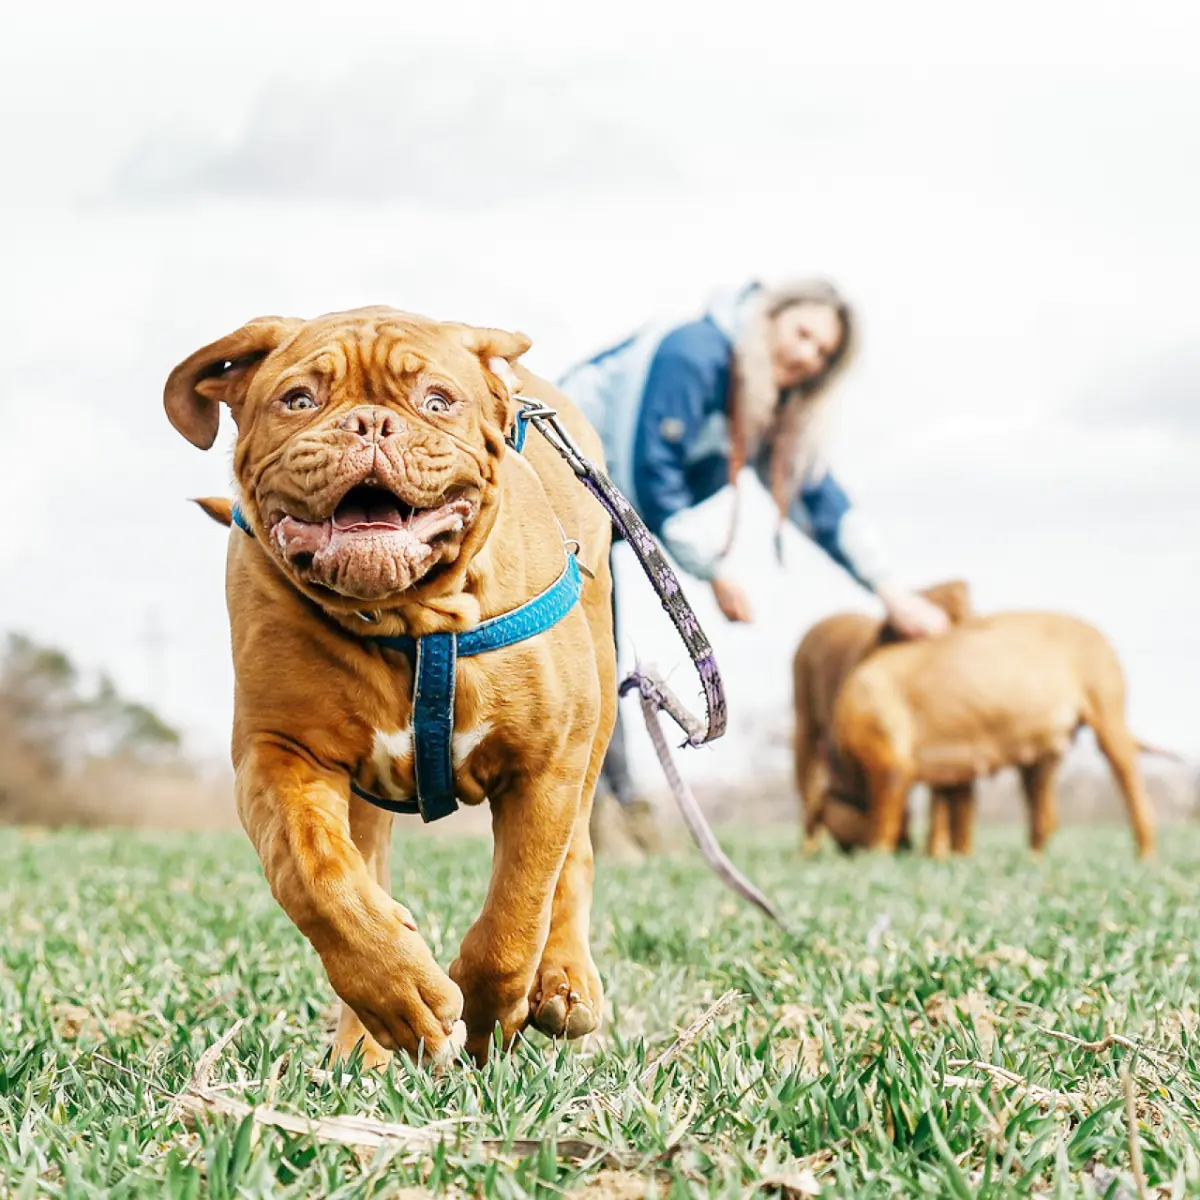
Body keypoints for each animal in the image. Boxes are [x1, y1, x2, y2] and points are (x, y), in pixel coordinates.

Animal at [166, 304, 619, 1065]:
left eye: (437, 402)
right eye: (299, 400)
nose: (372, 424)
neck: (411, 618)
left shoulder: (545, 763)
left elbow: (517, 910)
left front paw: (488, 1017)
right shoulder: (280, 752)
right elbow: (316, 876)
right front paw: (402, 993)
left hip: (600, 703)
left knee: (574, 858)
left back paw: (564, 983)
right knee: (365, 868)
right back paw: (366, 1042)